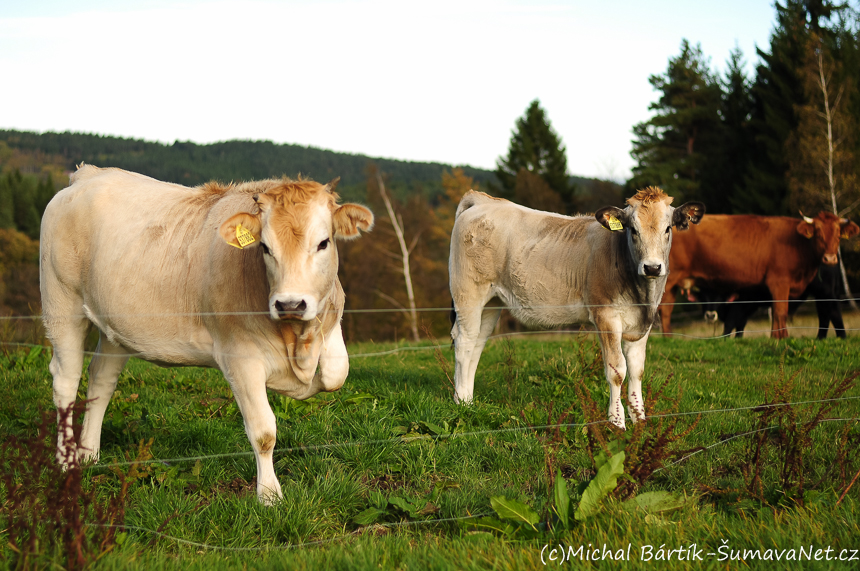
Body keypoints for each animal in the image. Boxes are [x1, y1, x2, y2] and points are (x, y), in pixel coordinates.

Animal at [446, 188, 704, 428]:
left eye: (667, 229)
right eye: (633, 230)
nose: (652, 267)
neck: (642, 296)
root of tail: (484, 200)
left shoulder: (643, 323)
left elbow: (637, 369)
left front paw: (639, 420)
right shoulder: (606, 316)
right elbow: (617, 370)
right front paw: (617, 423)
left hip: (492, 302)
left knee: (477, 342)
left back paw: (469, 401)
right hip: (468, 293)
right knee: (464, 341)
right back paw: (461, 403)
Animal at [660, 213, 856, 340]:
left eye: (839, 235)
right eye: (818, 233)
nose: (830, 258)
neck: (798, 243)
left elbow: (777, 313)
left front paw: (777, 337)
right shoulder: (779, 282)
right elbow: (780, 312)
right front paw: (780, 338)